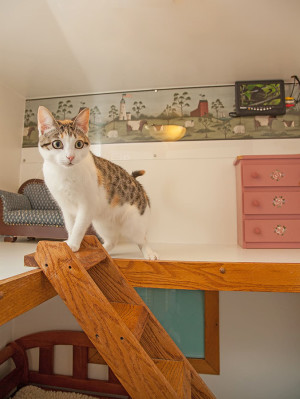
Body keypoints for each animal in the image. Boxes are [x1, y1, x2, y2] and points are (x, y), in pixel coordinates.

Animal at [38, 106, 158, 260]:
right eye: (57, 144)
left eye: (78, 144)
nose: (70, 157)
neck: (65, 174)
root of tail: (137, 183)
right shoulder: (66, 207)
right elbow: (71, 227)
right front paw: (70, 242)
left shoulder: (87, 205)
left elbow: (78, 227)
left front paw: (73, 244)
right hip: (102, 223)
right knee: (113, 240)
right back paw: (103, 249)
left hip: (134, 222)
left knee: (142, 239)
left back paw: (149, 253)